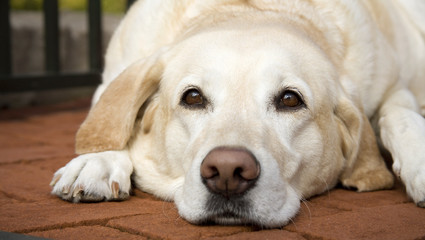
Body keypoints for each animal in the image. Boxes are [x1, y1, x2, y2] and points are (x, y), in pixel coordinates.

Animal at [50, 0, 424, 228]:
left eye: (290, 100)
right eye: (193, 97)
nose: (228, 171)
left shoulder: (393, 86)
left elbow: (401, 117)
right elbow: (110, 116)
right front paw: (95, 161)